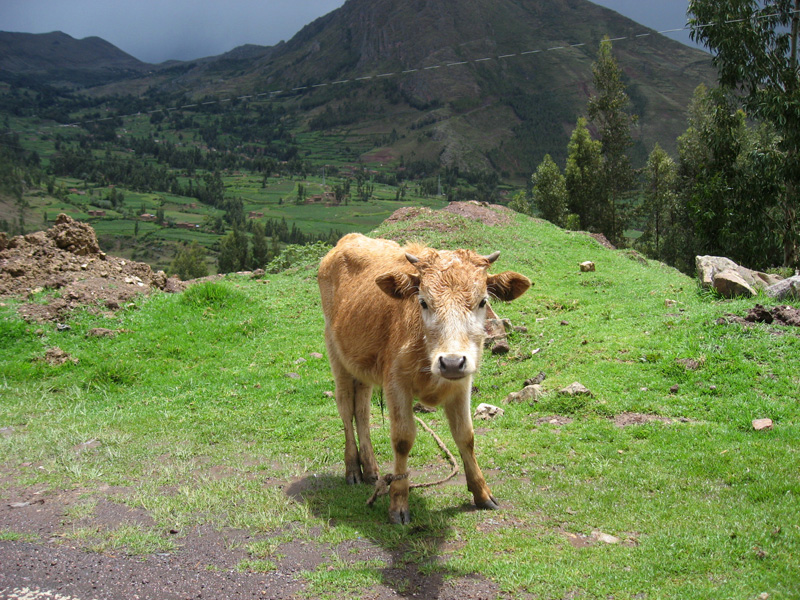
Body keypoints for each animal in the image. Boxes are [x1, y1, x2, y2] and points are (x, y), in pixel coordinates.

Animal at [317, 233, 530, 524]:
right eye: (423, 302)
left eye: (483, 301)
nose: (451, 362)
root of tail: (349, 239)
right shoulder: (396, 384)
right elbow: (402, 439)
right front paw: (398, 503)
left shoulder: (462, 384)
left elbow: (466, 435)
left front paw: (482, 492)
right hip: (337, 357)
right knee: (345, 408)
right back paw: (352, 469)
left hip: (363, 368)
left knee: (361, 412)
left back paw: (370, 469)